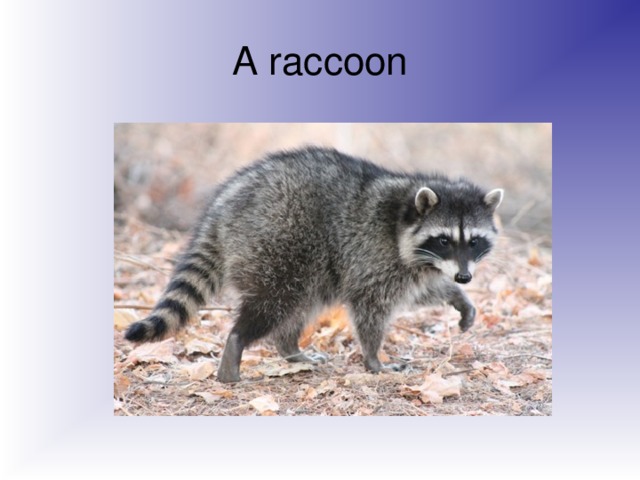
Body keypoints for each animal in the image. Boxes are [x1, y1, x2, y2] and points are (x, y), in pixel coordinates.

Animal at [125, 147, 504, 383]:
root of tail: (222, 206)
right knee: (276, 302)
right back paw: (239, 342)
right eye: (444, 240)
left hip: (300, 260)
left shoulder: (413, 266)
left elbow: (422, 289)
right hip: (277, 241)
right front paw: (373, 358)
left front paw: (455, 295)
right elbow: (370, 306)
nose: (464, 277)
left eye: (473, 241)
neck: (406, 211)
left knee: (301, 304)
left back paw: (289, 348)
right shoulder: (374, 255)